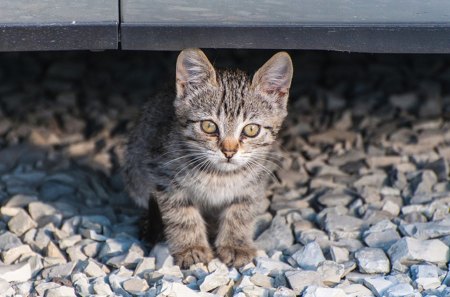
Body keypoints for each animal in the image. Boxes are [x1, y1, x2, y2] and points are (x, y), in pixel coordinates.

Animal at [124, 49, 292, 268]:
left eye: (251, 130)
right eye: (209, 126)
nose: (229, 151)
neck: (219, 175)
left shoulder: (252, 184)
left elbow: (240, 213)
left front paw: (236, 245)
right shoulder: (164, 176)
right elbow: (183, 216)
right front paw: (191, 247)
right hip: (135, 169)